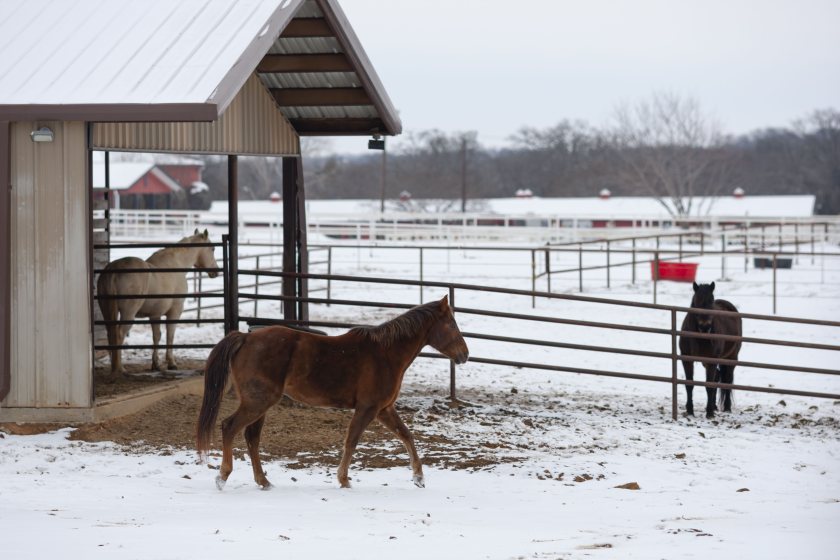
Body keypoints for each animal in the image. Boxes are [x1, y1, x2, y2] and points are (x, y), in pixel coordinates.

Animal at [97, 228, 221, 380]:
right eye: (212, 248)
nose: (216, 271)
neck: (176, 265)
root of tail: (114, 270)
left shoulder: (154, 315)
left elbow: (156, 336)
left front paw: (155, 364)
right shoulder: (175, 311)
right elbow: (170, 334)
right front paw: (171, 363)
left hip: (107, 310)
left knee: (111, 334)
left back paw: (114, 366)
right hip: (128, 313)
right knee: (119, 334)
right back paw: (120, 368)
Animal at [199, 296, 472, 492]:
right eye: (451, 324)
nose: (465, 354)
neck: (386, 354)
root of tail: (245, 338)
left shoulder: (384, 409)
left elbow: (407, 436)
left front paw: (418, 477)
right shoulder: (368, 408)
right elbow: (351, 441)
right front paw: (344, 480)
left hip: (261, 403)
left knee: (251, 438)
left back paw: (263, 482)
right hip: (257, 402)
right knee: (229, 427)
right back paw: (222, 477)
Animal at [676, 282, 740, 418]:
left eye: (711, 302)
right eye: (696, 302)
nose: (705, 327)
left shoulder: (711, 360)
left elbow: (709, 386)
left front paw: (709, 413)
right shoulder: (686, 359)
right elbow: (689, 384)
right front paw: (690, 410)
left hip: (731, 357)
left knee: (727, 380)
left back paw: (726, 408)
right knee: (717, 377)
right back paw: (714, 406)